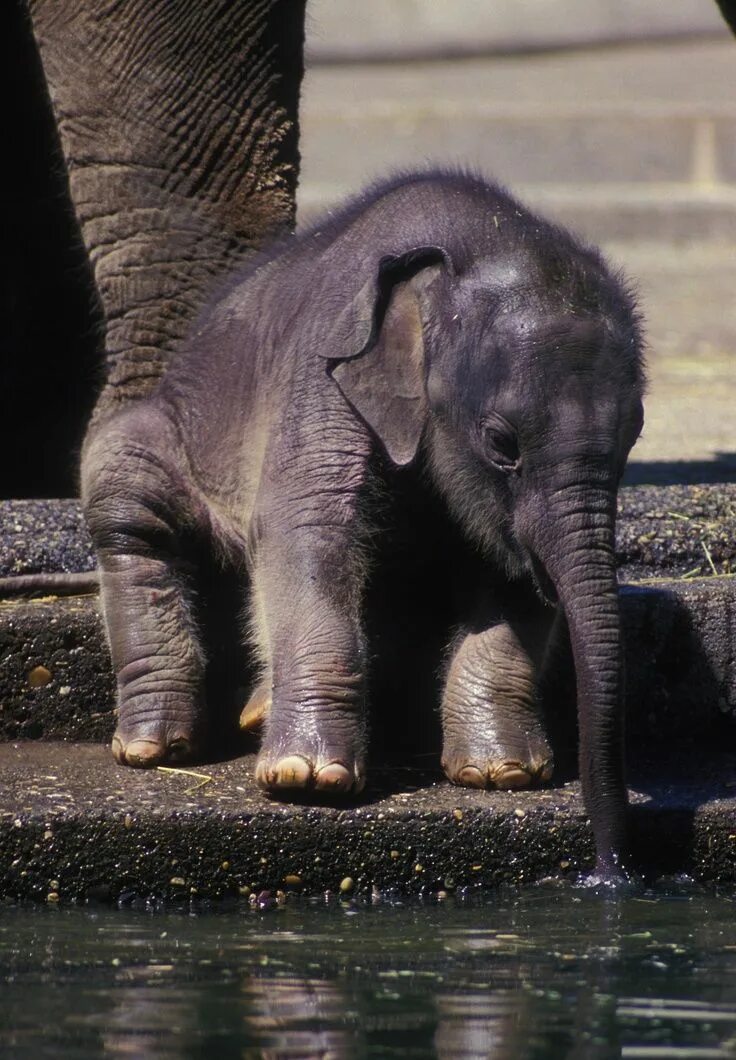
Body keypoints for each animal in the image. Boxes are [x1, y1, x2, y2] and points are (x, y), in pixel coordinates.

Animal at [83, 167, 644, 877]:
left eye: (633, 438)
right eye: (500, 442)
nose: (610, 866)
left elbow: (506, 567)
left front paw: (505, 775)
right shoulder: (322, 368)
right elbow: (309, 527)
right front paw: (305, 780)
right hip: (168, 428)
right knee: (125, 499)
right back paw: (154, 748)